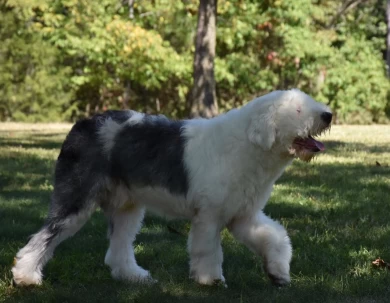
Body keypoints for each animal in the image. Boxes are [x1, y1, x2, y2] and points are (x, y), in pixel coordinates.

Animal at [11, 89, 332, 288]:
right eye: (298, 109)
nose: (328, 115)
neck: (249, 145)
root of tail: (81, 124)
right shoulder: (209, 215)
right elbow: (207, 249)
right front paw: (210, 280)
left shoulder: (244, 214)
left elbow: (274, 236)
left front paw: (278, 273)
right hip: (75, 197)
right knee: (45, 236)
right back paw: (26, 277)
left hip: (127, 206)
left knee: (118, 247)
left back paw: (133, 276)